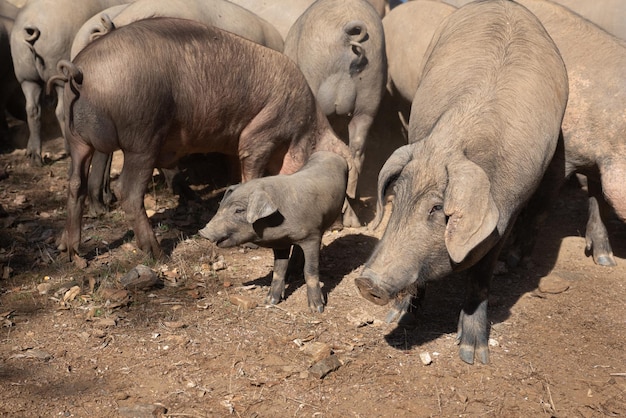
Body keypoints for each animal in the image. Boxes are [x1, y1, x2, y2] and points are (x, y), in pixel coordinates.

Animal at [9, 0, 131, 166]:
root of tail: (30, 27)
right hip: (58, 70)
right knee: (61, 110)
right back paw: (67, 149)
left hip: (26, 77)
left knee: (32, 109)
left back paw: (34, 156)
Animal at [49, 18, 356, 262]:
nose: (339, 225)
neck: (306, 125)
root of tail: (79, 70)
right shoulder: (260, 133)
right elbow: (251, 168)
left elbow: (235, 170)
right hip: (142, 135)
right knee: (128, 190)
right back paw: (158, 255)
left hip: (75, 138)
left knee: (74, 183)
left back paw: (68, 251)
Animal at [200, 151, 346, 314]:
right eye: (222, 205)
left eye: (239, 210)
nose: (203, 232)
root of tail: (329, 152)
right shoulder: (280, 243)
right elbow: (278, 270)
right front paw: (270, 302)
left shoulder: (312, 236)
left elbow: (310, 271)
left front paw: (317, 309)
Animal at [354, 0, 568, 364]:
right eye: (397, 195)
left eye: (438, 208)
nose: (367, 283)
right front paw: (399, 317)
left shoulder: (507, 214)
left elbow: (481, 277)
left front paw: (473, 355)